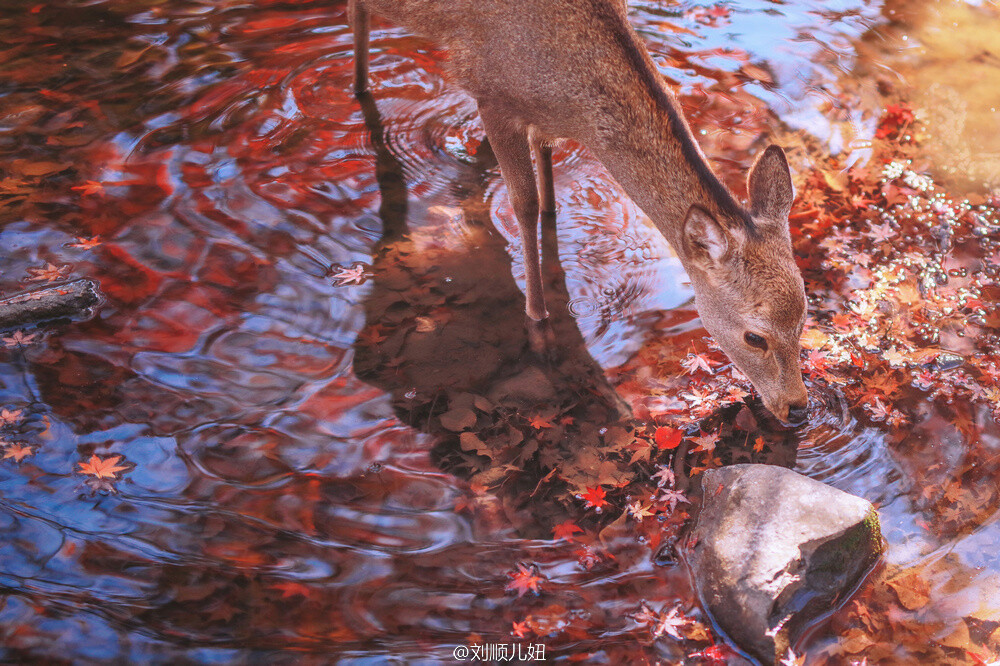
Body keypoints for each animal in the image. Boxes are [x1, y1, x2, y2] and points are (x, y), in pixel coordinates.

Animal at [348, 0, 808, 426]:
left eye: (804, 318)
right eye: (755, 337)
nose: (799, 408)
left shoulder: (541, 120)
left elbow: (548, 192)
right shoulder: (488, 91)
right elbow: (524, 203)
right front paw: (539, 328)